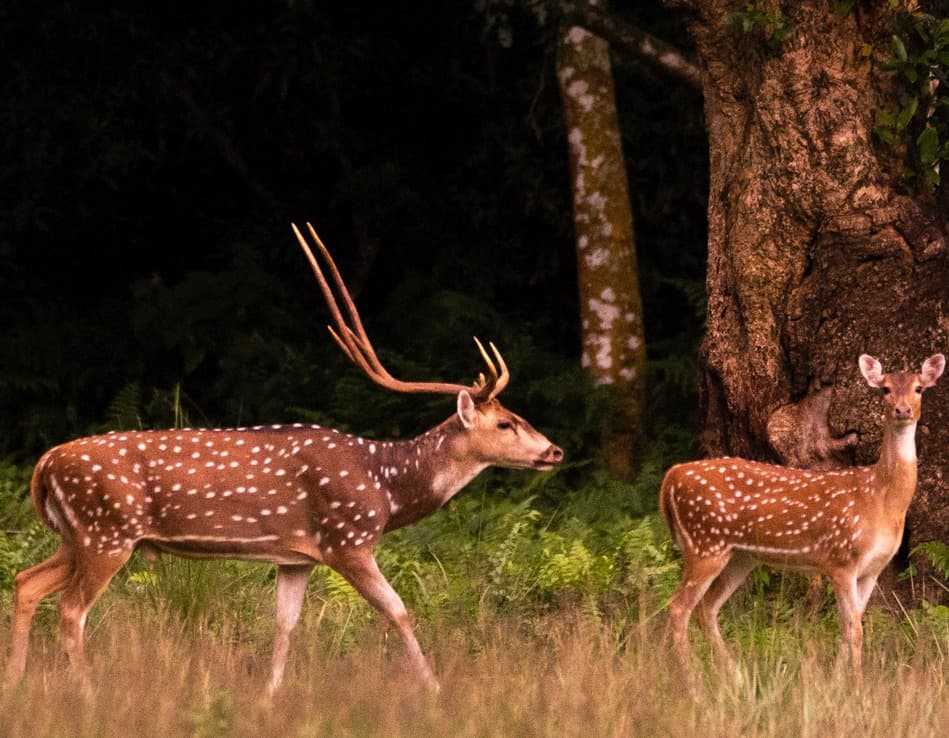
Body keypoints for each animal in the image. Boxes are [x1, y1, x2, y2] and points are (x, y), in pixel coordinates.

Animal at [7, 223, 564, 688]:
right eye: (505, 422)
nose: (554, 451)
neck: (386, 488)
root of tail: (45, 465)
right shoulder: (348, 541)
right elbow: (399, 610)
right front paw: (434, 690)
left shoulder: (296, 557)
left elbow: (284, 626)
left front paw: (269, 697)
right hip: (107, 532)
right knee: (70, 609)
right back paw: (86, 690)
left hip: (78, 536)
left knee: (26, 581)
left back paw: (15, 682)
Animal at [660, 354, 940, 676]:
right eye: (885, 389)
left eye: (919, 388)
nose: (902, 409)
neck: (881, 500)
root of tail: (672, 476)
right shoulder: (841, 559)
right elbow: (854, 629)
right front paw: (856, 684)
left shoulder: (873, 568)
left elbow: (851, 627)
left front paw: (837, 680)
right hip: (705, 543)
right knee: (678, 607)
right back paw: (692, 679)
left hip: (739, 556)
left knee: (706, 608)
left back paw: (736, 676)